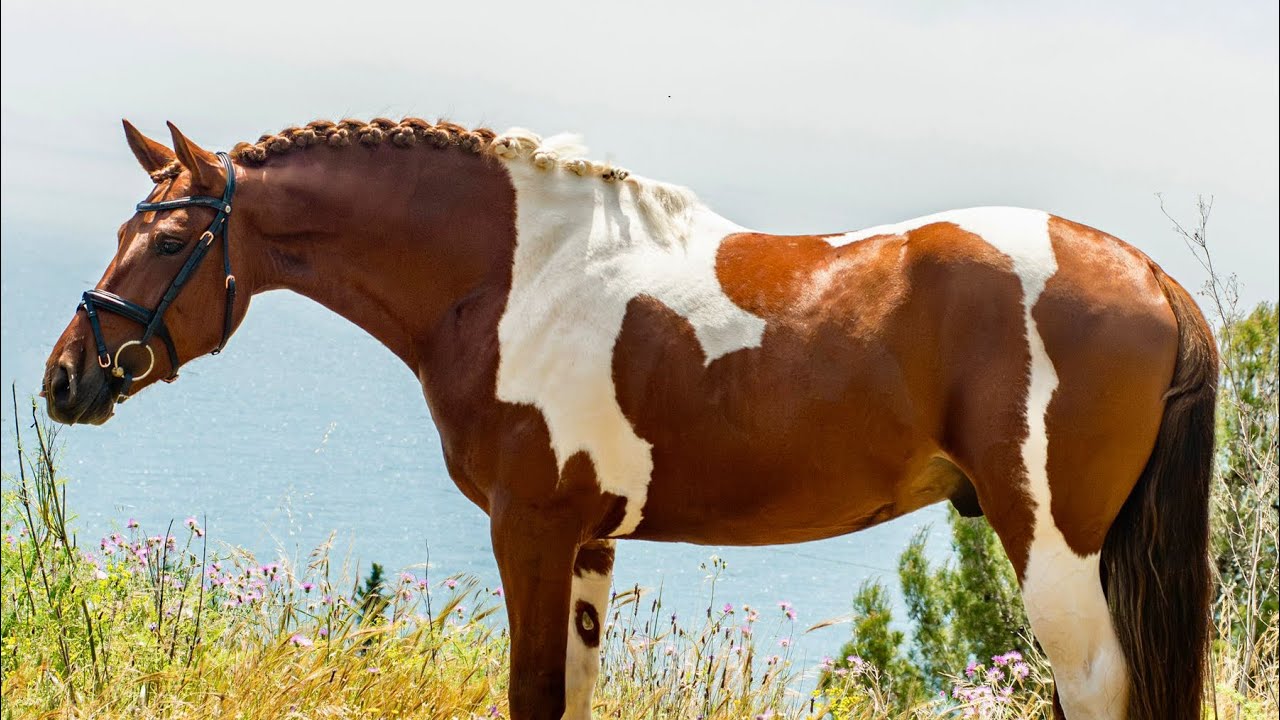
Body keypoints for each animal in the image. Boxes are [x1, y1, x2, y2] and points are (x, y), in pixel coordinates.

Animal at [42, 117, 1217, 720]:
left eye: (165, 240)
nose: (65, 378)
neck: (514, 274)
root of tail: (1147, 274)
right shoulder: (591, 542)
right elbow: (573, 694)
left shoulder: (529, 528)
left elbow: (529, 693)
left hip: (1052, 545)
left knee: (1094, 689)